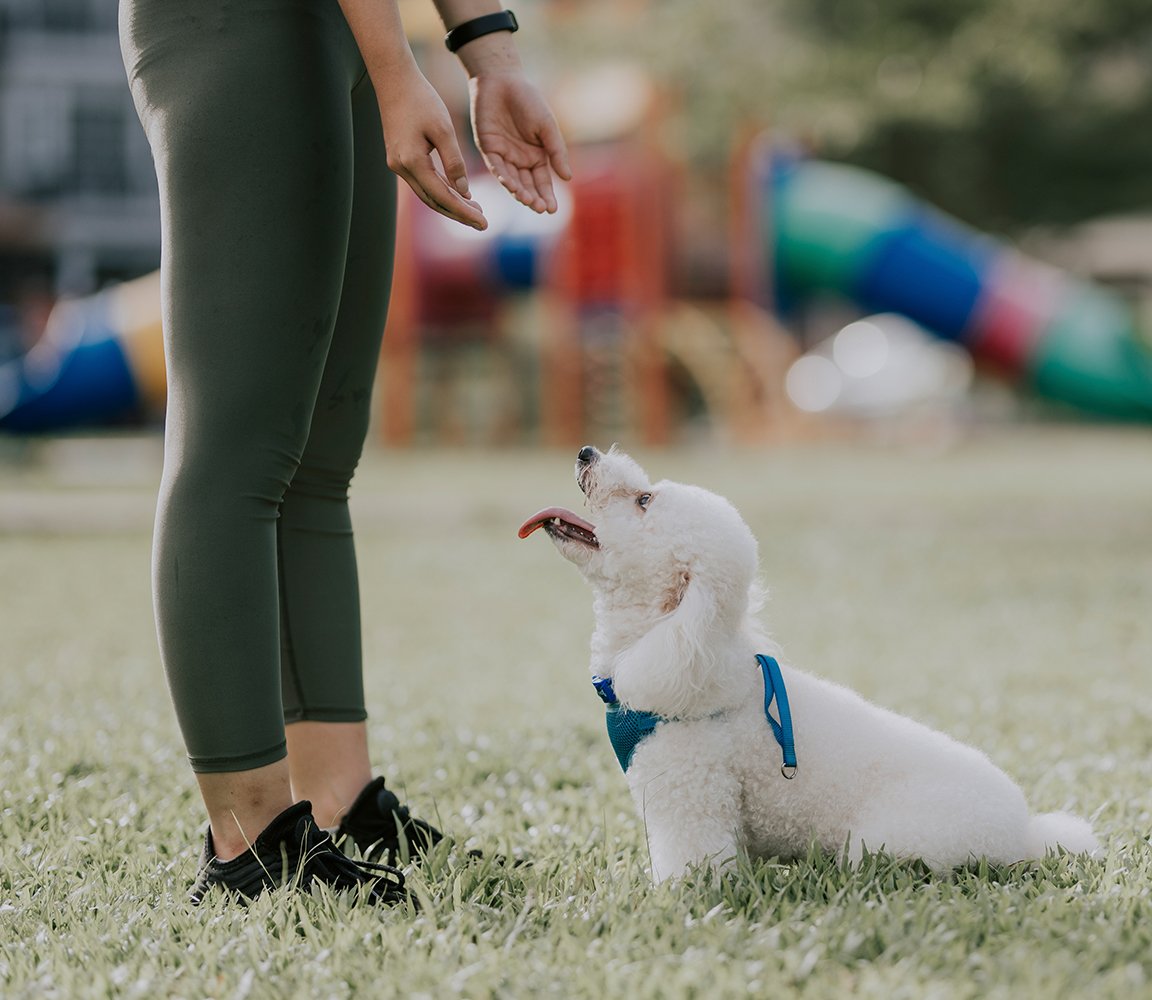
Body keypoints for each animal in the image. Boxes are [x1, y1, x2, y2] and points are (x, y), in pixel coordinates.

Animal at [519, 445, 1099, 882]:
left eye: (643, 500)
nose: (586, 452)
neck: (676, 646)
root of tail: (1027, 834)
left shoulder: (693, 798)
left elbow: (693, 868)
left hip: (886, 840)